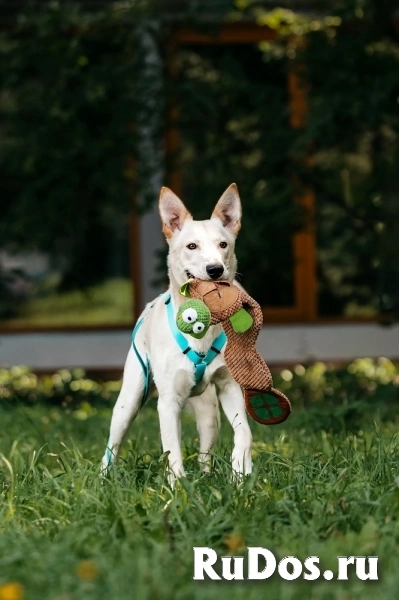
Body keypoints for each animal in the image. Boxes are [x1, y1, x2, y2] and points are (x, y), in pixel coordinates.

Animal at [103, 184, 253, 488]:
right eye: (191, 246)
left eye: (223, 245)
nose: (215, 269)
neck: (200, 327)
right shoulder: (168, 402)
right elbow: (172, 450)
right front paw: (179, 489)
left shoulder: (230, 387)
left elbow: (244, 432)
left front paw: (241, 469)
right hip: (129, 400)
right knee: (112, 446)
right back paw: (102, 479)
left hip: (209, 413)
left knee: (205, 451)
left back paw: (207, 477)